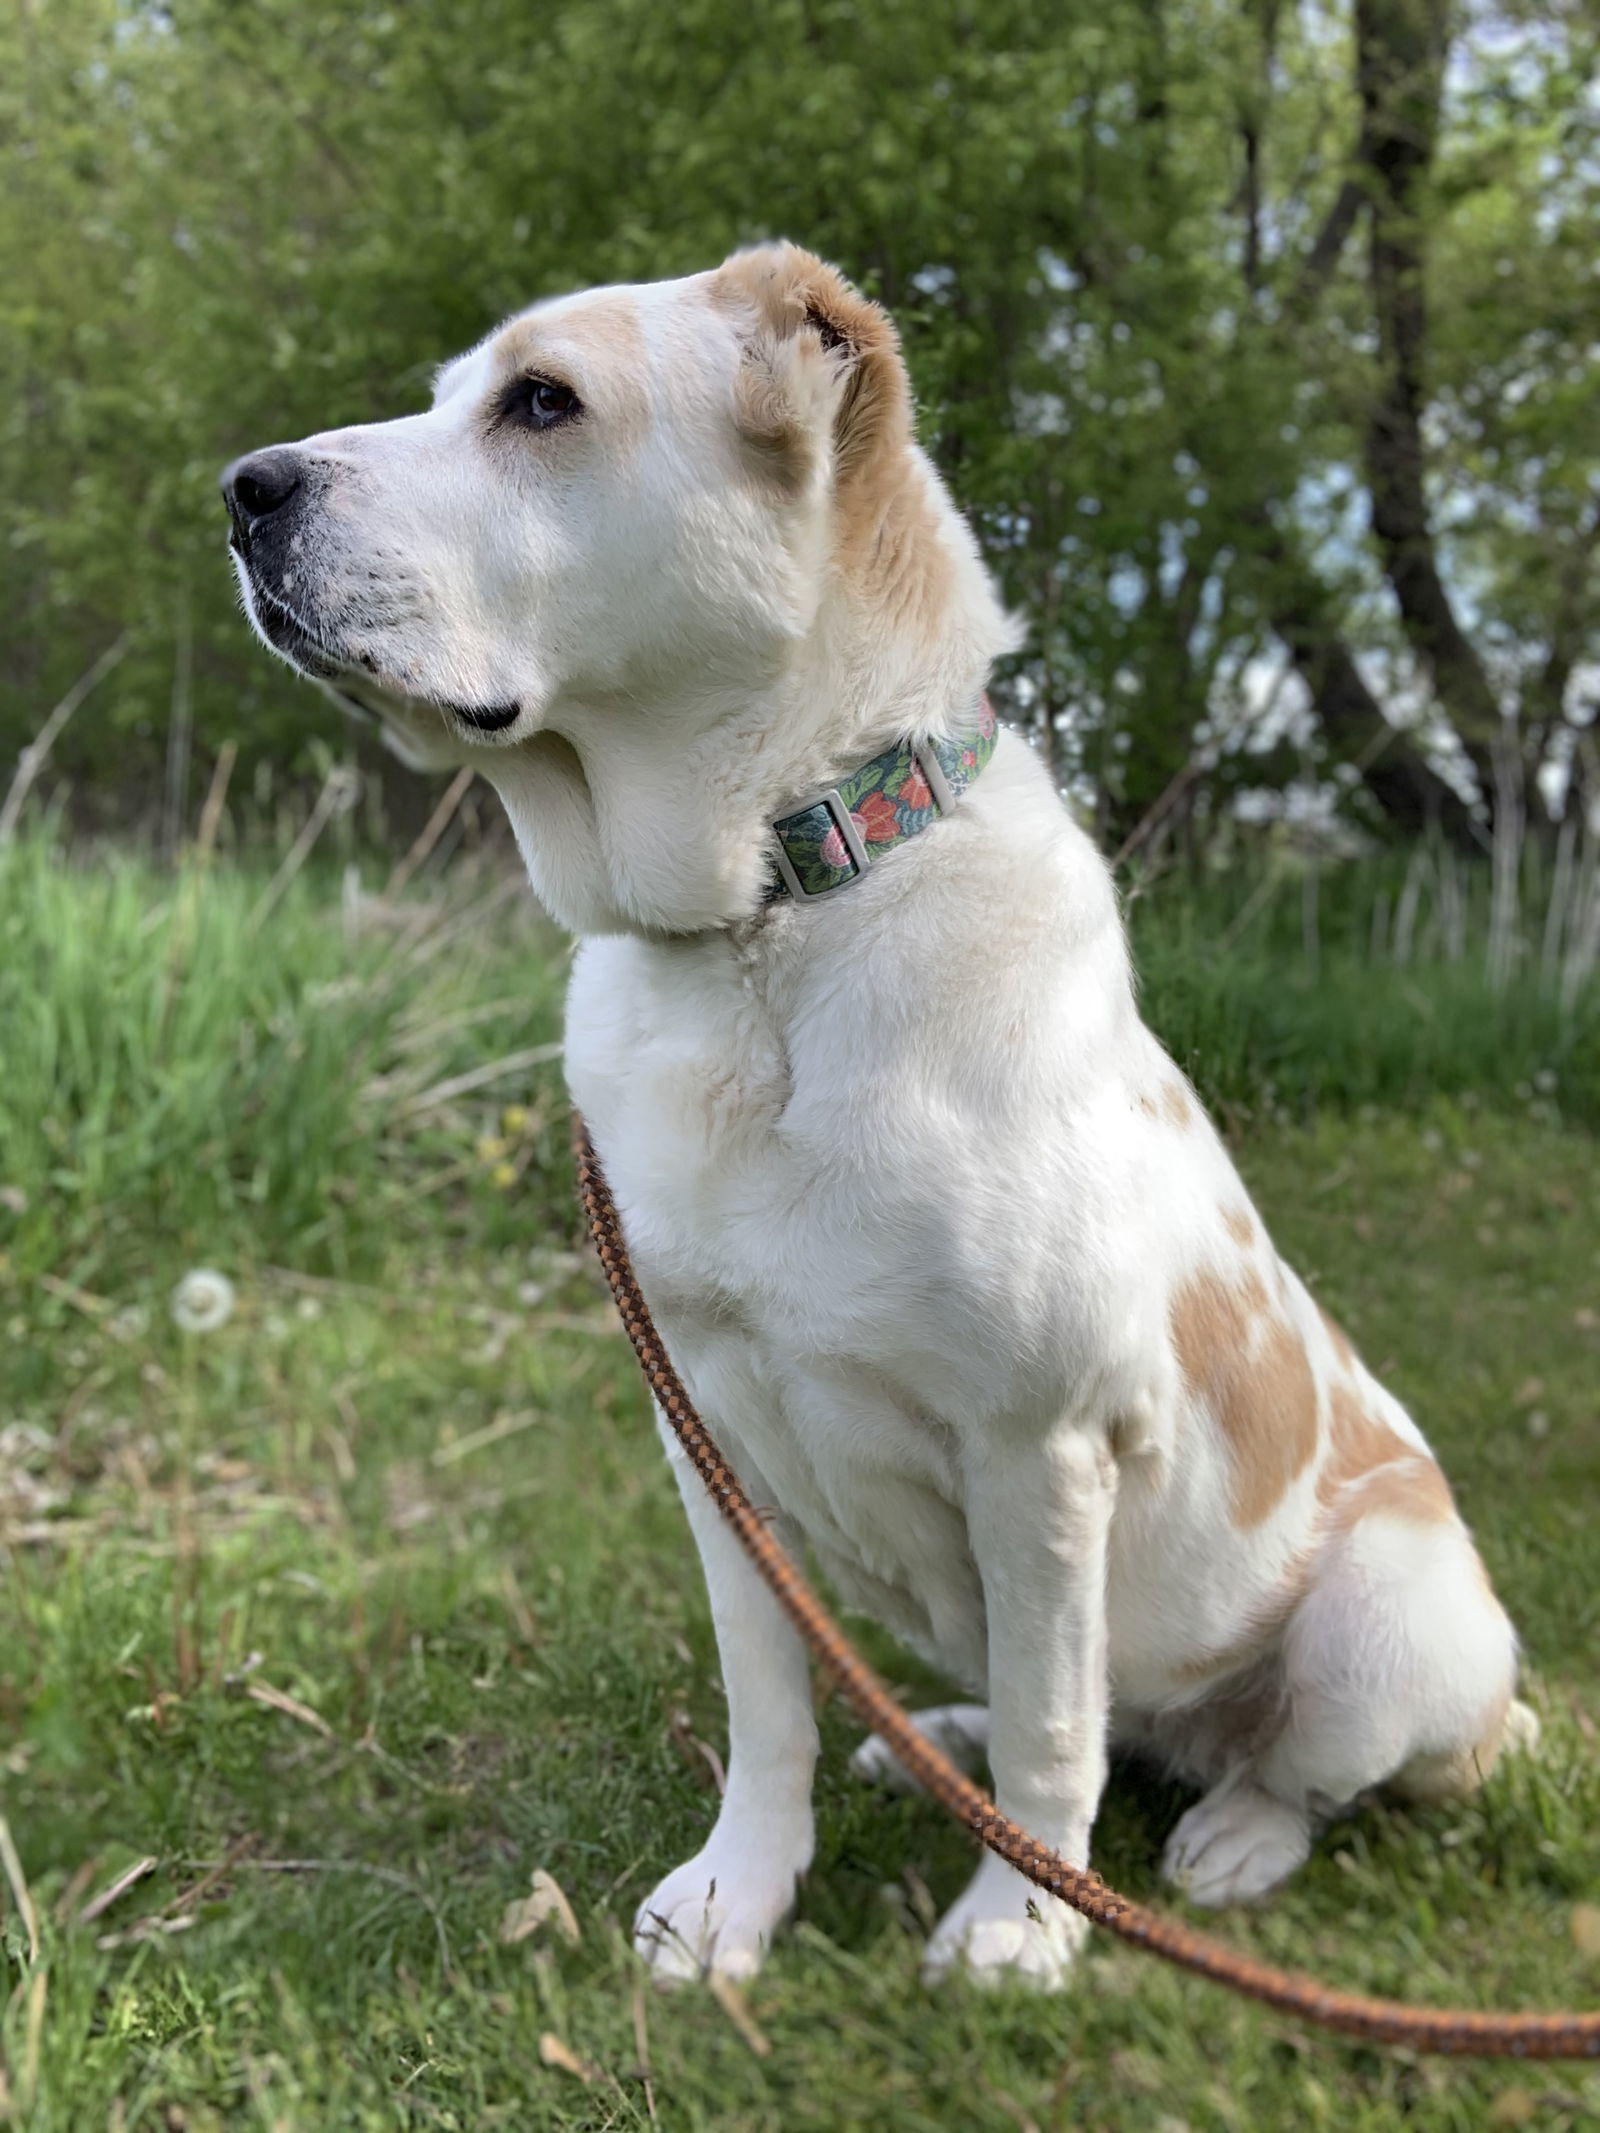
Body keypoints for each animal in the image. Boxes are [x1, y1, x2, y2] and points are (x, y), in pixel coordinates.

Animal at [228, 253, 1544, 1996]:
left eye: (542, 401)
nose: (245, 489)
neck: (762, 927)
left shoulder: (1038, 1445)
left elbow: (1058, 1725)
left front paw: (1016, 1928)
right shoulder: (708, 1434)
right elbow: (769, 1702)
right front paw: (738, 1895)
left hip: (1391, 1609)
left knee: (1278, 1765)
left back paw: (1229, 1837)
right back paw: (937, 1739)